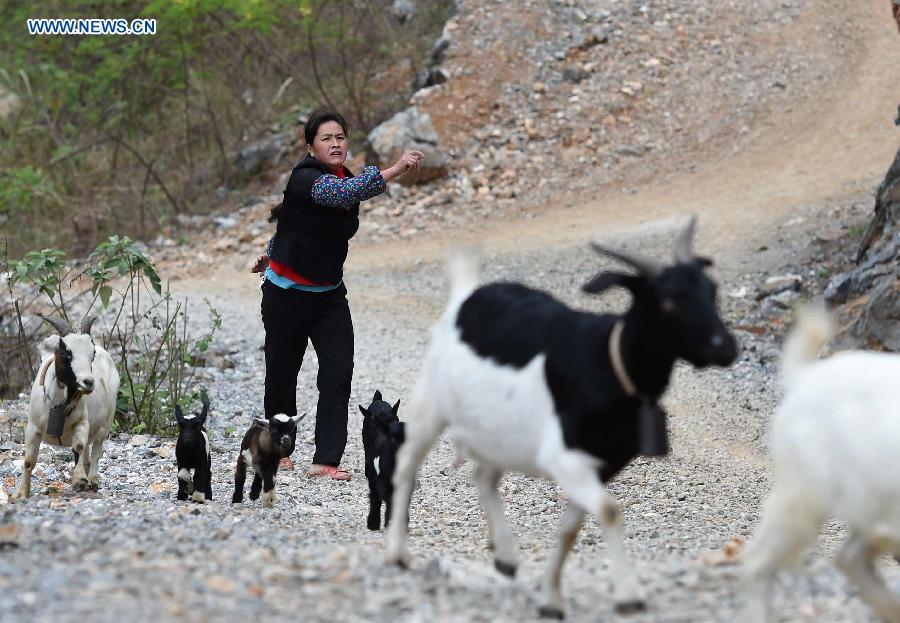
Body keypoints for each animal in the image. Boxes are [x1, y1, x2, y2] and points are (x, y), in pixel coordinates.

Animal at [14, 316, 120, 498]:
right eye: (66, 353)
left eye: (92, 354)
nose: (88, 382)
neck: (58, 404)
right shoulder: (33, 428)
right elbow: (29, 461)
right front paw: (22, 494)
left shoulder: (82, 422)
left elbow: (78, 447)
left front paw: (79, 480)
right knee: (87, 455)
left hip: (106, 423)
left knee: (96, 451)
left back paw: (92, 480)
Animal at [384, 219, 740, 620]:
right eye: (668, 300)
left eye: (712, 290)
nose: (726, 347)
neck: (608, 362)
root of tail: (466, 293)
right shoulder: (567, 459)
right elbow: (609, 510)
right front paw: (628, 594)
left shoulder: (599, 466)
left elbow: (571, 529)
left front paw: (551, 599)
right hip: (431, 401)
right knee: (408, 464)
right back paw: (397, 553)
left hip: (499, 431)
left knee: (483, 476)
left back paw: (505, 556)